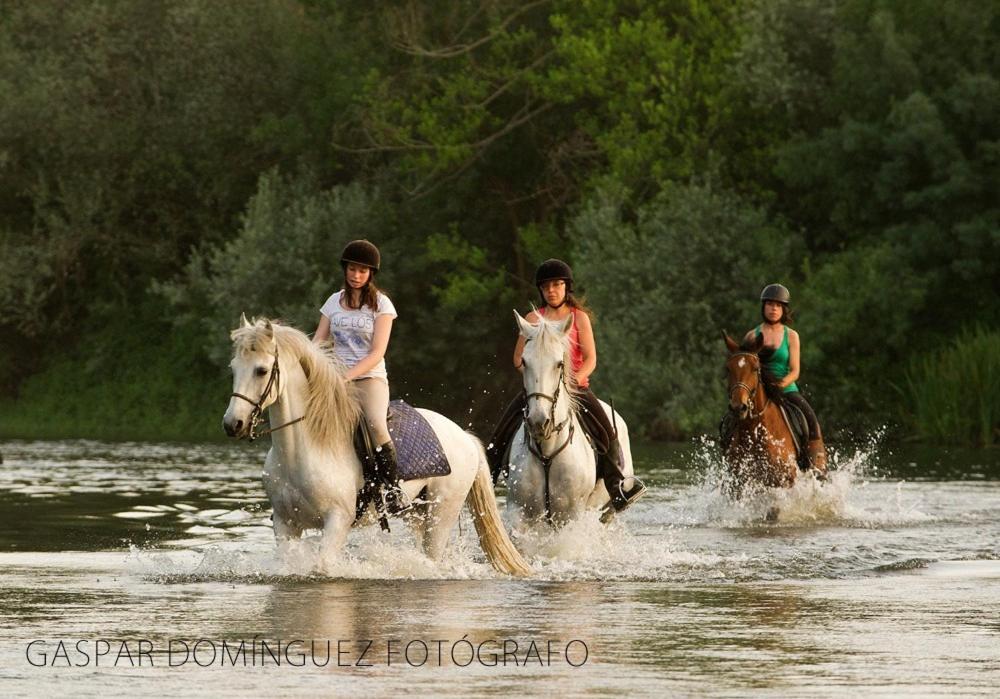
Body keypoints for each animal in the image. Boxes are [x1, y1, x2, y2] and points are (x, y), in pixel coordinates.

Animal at [221, 314, 532, 576]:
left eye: (261, 371)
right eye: (233, 369)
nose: (232, 424)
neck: (306, 448)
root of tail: (464, 437)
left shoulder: (338, 521)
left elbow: (321, 566)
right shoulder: (285, 524)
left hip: (441, 514)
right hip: (415, 515)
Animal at [504, 312, 636, 524]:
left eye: (559, 364)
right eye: (524, 362)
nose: (538, 422)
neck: (547, 451)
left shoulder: (571, 515)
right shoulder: (519, 511)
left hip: (608, 511)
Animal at [724, 334, 800, 498]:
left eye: (755, 369)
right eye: (728, 369)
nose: (738, 407)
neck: (755, 432)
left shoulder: (784, 481)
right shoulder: (737, 485)